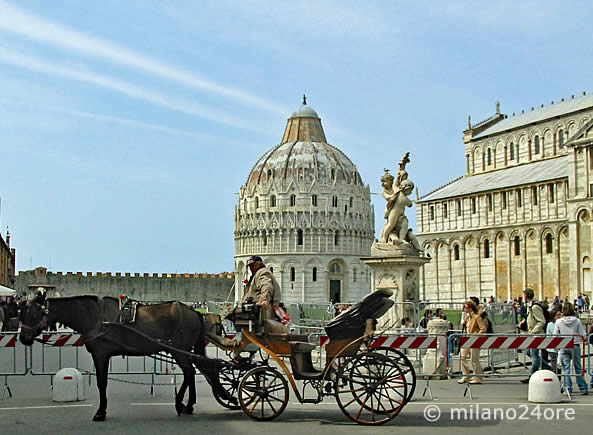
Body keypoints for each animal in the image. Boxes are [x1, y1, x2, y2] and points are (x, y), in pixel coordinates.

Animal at [19, 292, 231, 422]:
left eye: (34, 313)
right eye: (22, 313)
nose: (23, 338)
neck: (94, 317)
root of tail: (195, 312)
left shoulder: (101, 353)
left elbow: (102, 382)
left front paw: (100, 411)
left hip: (179, 349)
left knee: (189, 373)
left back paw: (180, 403)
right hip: (183, 350)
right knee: (194, 371)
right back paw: (189, 404)